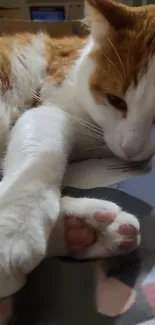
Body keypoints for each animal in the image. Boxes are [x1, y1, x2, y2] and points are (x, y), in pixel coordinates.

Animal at [0, 0, 155, 322]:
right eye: (116, 100)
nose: (131, 150)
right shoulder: (51, 105)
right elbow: (41, 148)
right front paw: (16, 226)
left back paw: (85, 230)